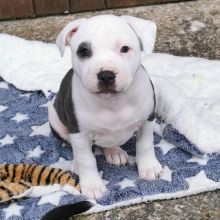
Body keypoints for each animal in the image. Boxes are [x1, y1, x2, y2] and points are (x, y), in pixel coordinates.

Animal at [49, 14, 163, 199]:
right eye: (84, 51)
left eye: (125, 49)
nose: (106, 75)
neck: (112, 103)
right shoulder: (79, 133)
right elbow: (86, 159)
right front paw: (92, 185)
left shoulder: (147, 120)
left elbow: (145, 145)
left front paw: (148, 167)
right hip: (56, 120)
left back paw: (114, 152)